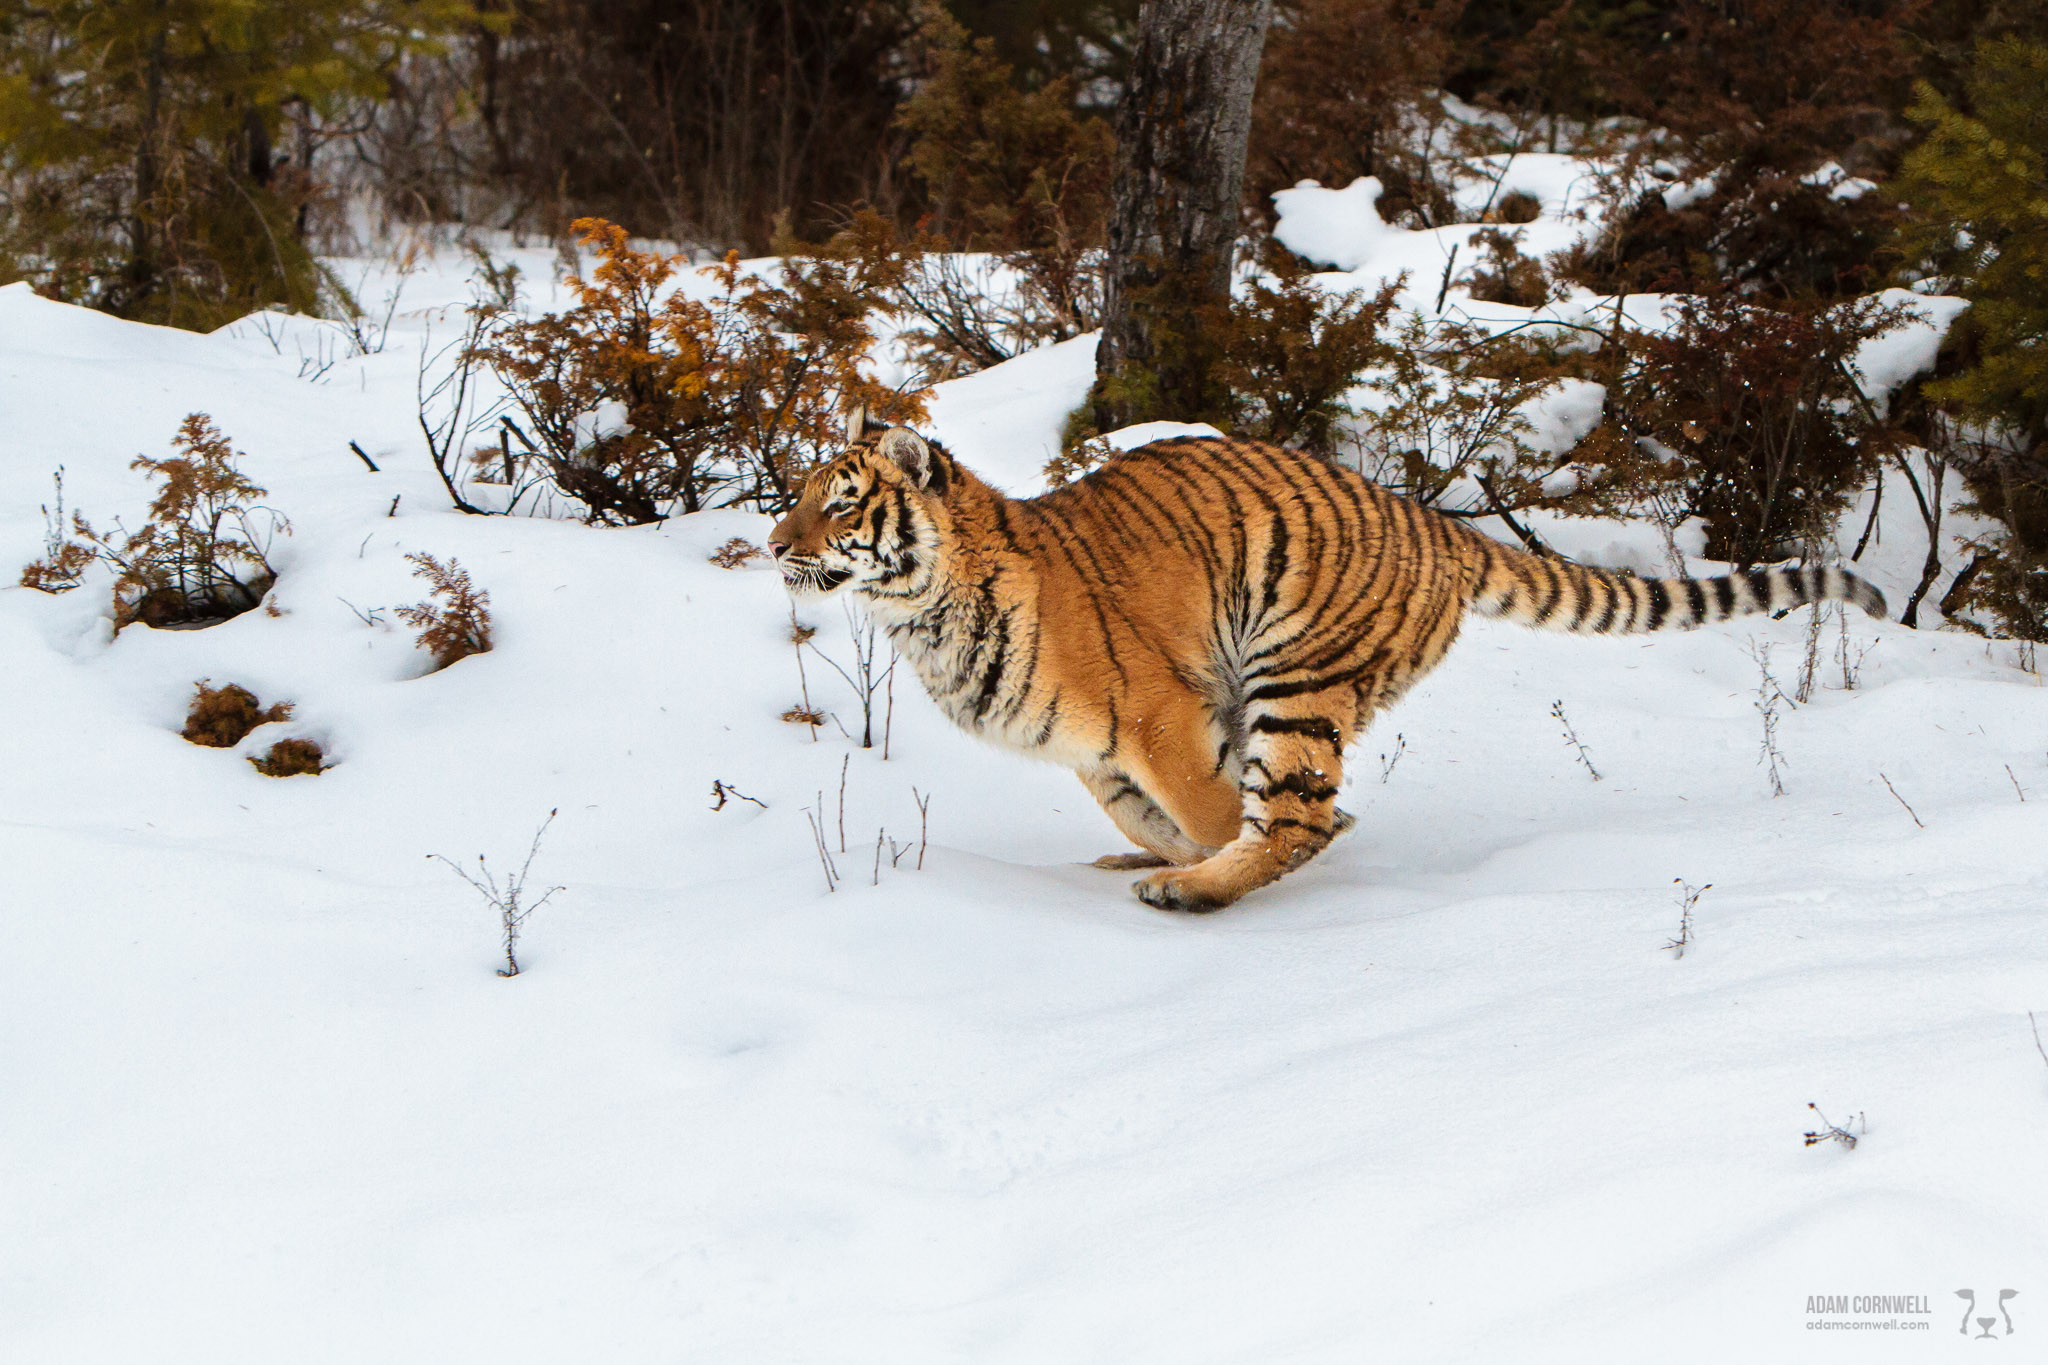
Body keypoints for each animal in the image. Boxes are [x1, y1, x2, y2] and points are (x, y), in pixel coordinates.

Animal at [770, 411, 1884, 912]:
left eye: (840, 501)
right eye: (799, 496)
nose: (775, 543)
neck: (922, 614)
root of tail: (1439, 524)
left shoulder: (1158, 717)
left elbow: (1212, 809)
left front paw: (1207, 869)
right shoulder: (1097, 754)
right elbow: (1150, 813)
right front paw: (1149, 852)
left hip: (1294, 674)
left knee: (1294, 816)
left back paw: (1199, 892)